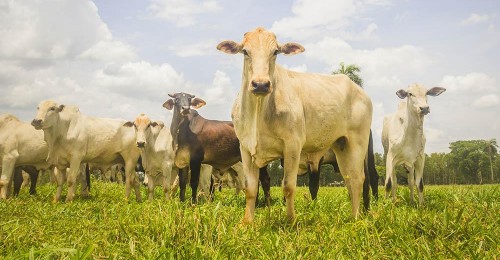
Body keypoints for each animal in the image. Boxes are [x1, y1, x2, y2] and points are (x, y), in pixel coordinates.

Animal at [217, 26, 374, 223]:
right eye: (245, 51)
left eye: (275, 52)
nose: (260, 84)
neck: (259, 114)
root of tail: (360, 91)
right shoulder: (245, 148)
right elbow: (250, 189)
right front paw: (246, 222)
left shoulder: (293, 146)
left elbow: (288, 186)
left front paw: (290, 220)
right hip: (341, 145)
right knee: (349, 179)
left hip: (357, 142)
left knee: (358, 179)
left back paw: (356, 217)